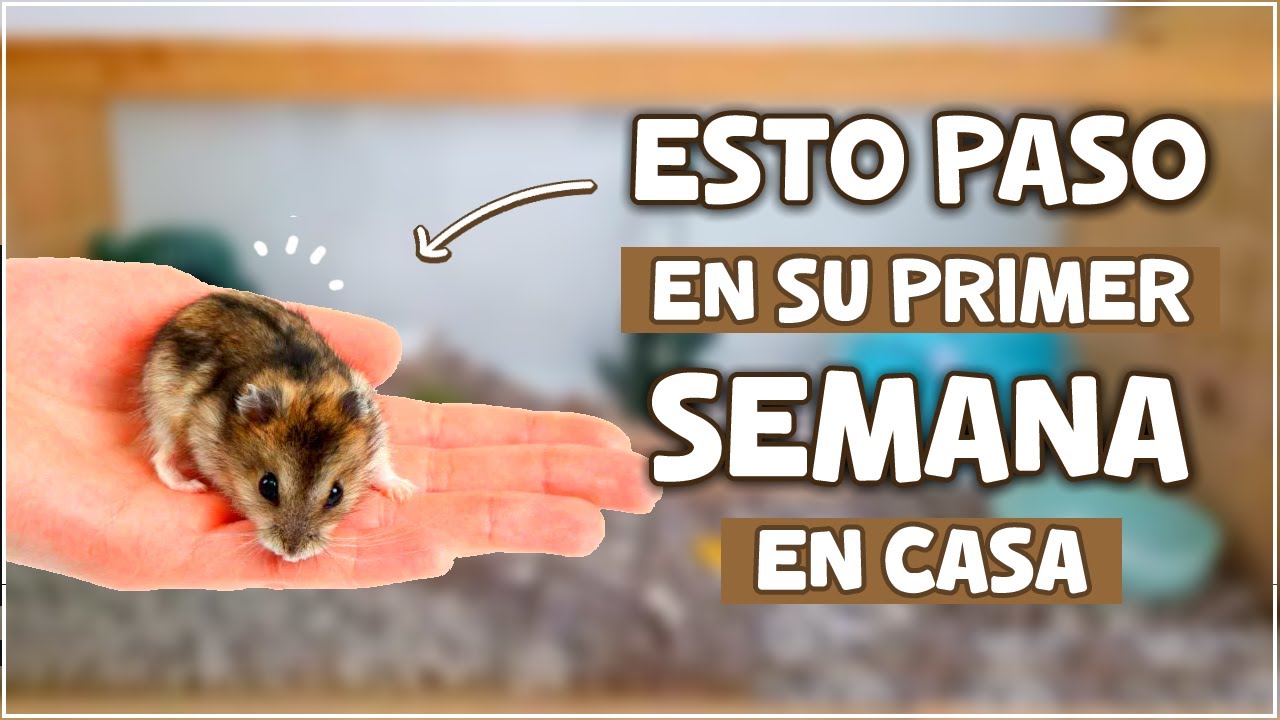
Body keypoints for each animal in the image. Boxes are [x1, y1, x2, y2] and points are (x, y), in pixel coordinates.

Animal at [141, 291, 415, 562]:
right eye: (267, 487)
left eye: (337, 494)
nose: (291, 555)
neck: (308, 390)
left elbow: (381, 467)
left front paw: (405, 493)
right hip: (167, 415)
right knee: (161, 458)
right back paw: (191, 486)